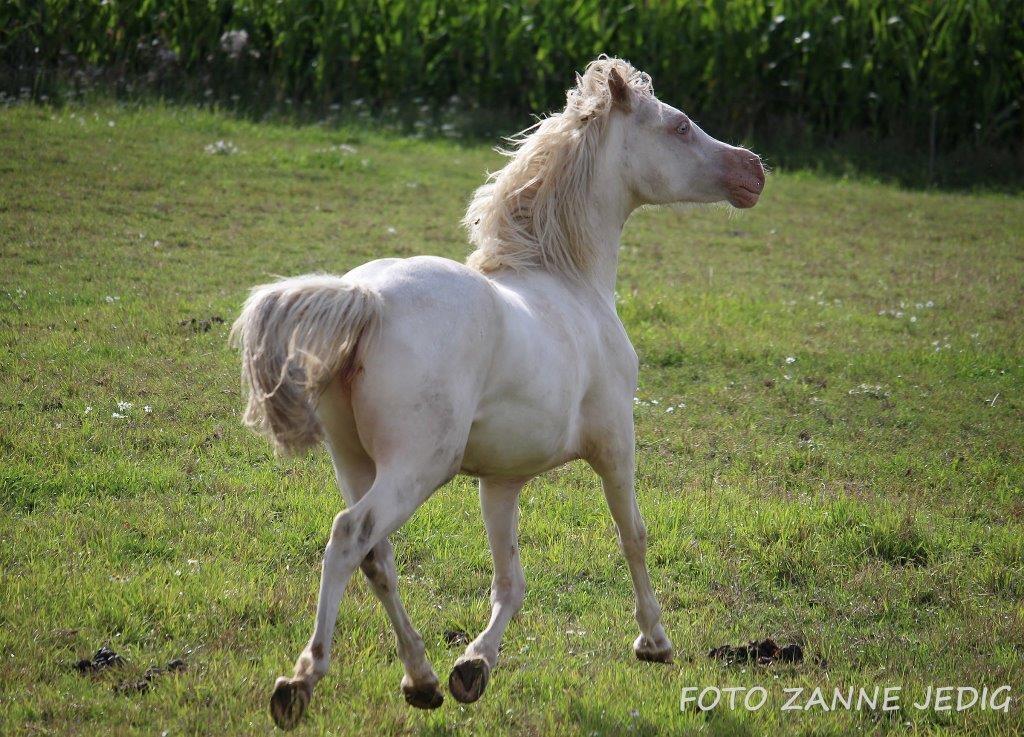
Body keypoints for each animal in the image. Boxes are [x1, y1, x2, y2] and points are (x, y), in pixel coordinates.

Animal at [232, 54, 761, 728]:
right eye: (681, 125)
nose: (753, 169)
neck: (570, 279)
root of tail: (368, 299)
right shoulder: (616, 442)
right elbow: (633, 535)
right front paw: (654, 641)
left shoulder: (502, 479)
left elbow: (510, 581)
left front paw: (472, 668)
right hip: (417, 466)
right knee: (351, 536)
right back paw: (301, 681)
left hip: (354, 460)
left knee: (378, 557)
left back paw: (422, 679)